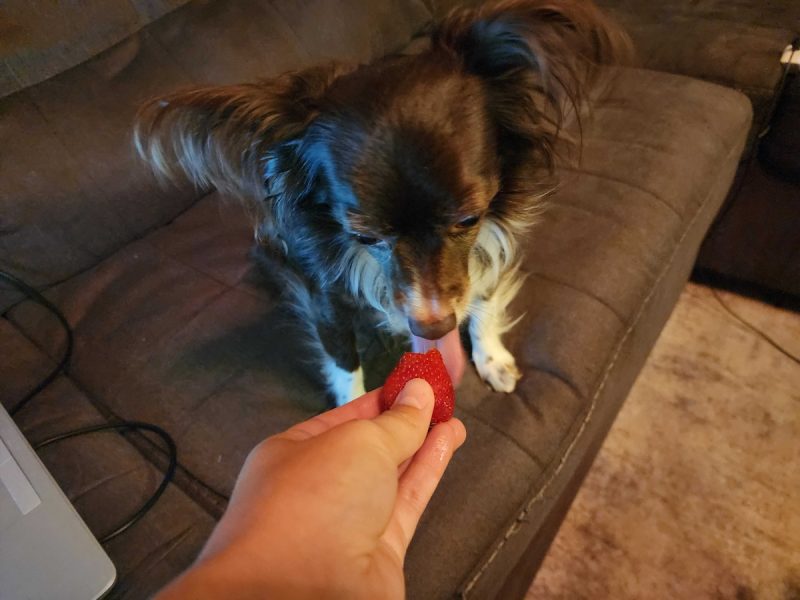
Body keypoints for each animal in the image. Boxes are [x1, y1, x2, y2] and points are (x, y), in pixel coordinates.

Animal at [134, 0, 624, 408]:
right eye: (363, 236)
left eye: (470, 218)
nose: (433, 329)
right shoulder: (325, 296)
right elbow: (342, 355)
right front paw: (347, 414)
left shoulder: (485, 249)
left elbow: (483, 296)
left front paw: (492, 357)